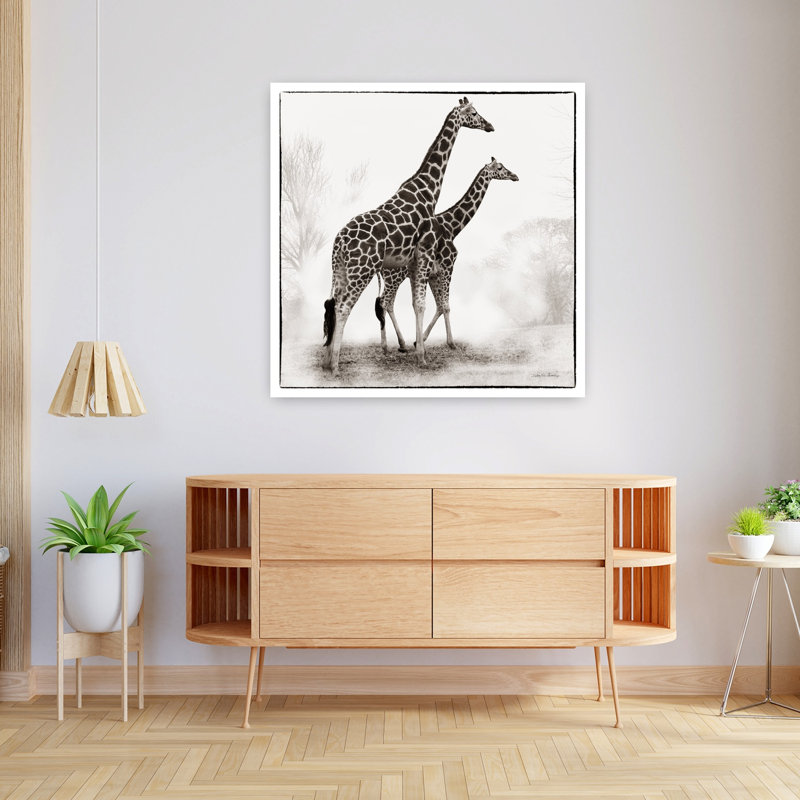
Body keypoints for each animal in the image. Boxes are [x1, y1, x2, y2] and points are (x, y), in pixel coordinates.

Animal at [322, 97, 494, 376]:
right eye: (473, 112)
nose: (490, 125)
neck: (428, 191)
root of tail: (339, 242)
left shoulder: (415, 262)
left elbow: (418, 304)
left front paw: (418, 349)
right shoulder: (425, 253)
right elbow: (424, 304)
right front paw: (422, 356)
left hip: (340, 270)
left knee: (333, 303)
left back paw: (326, 362)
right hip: (363, 270)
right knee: (345, 306)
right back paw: (336, 365)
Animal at [377, 158, 519, 353]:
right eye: (500, 167)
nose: (515, 176)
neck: (452, 227)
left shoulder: (433, 273)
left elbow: (438, 306)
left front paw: (419, 340)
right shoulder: (448, 266)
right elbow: (446, 306)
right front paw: (450, 343)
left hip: (393, 277)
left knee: (386, 303)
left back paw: (399, 344)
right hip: (394, 277)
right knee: (385, 302)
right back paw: (389, 345)